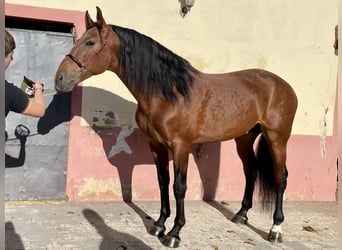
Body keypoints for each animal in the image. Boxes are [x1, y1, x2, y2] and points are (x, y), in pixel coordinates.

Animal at [53, 6, 296, 248]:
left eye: (90, 43)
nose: (60, 79)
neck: (168, 93)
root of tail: (284, 86)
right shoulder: (156, 145)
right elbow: (163, 182)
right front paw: (159, 225)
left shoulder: (181, 146)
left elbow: (179, 187)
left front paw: (174, 233)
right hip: (244, 138)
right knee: (251, 170)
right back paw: (242, 214)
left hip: (277, 138)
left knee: (280, 176)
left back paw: (275, 228)